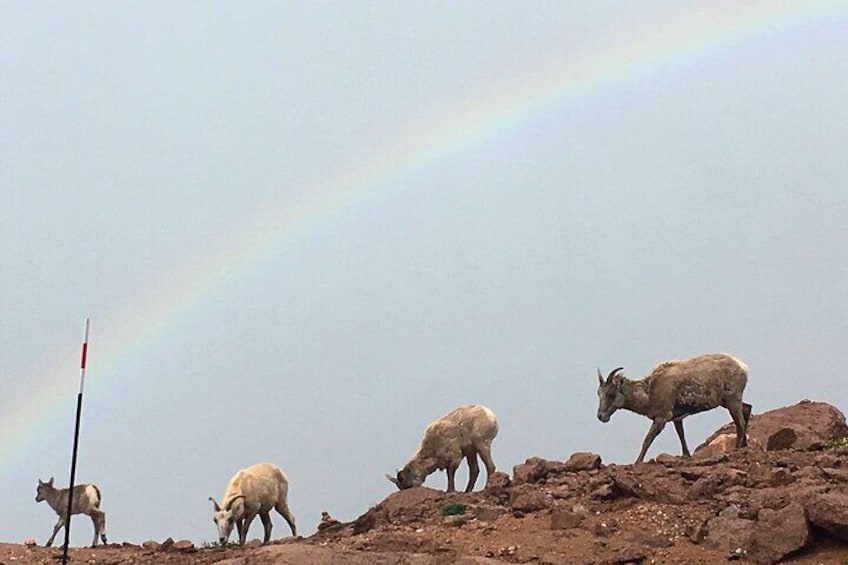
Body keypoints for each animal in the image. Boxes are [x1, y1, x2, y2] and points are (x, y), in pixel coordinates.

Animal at [596, 352, 748, 462]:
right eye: (599, 393)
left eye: (610, 394)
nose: (600, 416)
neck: (650, 392)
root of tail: (743, 367)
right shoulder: (676, 417)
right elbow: (681, 435)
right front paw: (686, 456)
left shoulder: (662, 418)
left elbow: (647, 440)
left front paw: (637, 462)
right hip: (728, 401)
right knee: (746, 409)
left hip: (732, 400)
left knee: (740, 422)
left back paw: (737, 448)